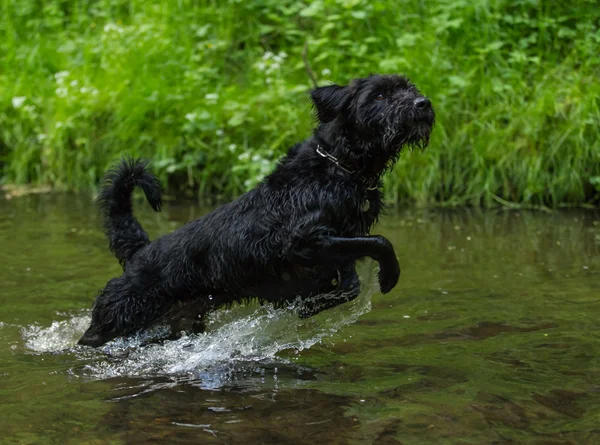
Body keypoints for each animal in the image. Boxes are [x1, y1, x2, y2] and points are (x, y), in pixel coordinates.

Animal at [81, 74, 436, 346]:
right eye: (380, 95)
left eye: (409, 87)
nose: (424, 104)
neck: (339, 166)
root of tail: (140, 252)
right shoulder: (304, 240)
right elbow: (379, 242)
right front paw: (389, 275)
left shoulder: (339, 245)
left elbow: (348, 283)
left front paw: (308, 305)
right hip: (117, 315)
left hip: (183, 319)